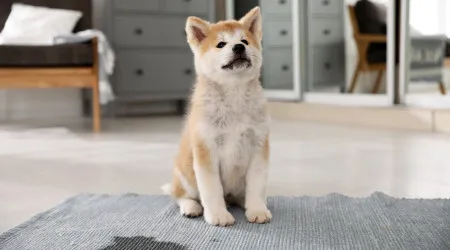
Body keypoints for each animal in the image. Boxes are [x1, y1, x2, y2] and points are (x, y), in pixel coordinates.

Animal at [163, 7, 270, 227]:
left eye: (245, 41)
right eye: (221, 44)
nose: (238, 47)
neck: (234, 94)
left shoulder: (258, 146)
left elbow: (256, 186)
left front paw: (257, 210)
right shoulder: (206, 149)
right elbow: (212, 190)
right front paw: (218, 215)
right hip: (185, 174)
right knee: (180, 195)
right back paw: (191, 207)